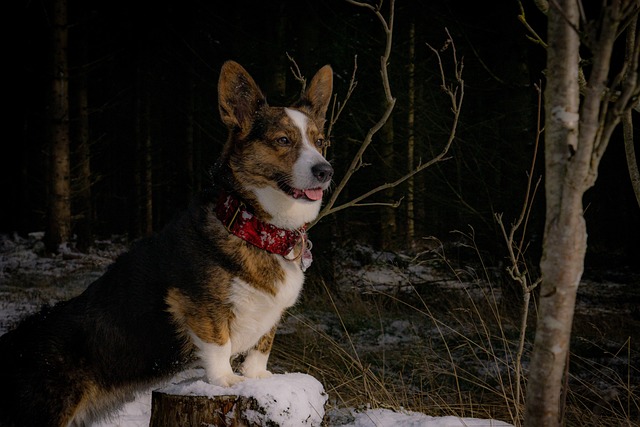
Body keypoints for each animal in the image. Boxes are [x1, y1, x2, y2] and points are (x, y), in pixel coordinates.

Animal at [0, 61, 338, 427]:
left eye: (321, 142)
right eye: (283, 140)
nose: (326, 171)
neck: (257, 227)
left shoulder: (270, 318)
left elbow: (261, 348)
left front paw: (257, 377)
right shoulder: (198, 305)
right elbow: (219, 344)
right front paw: (226, 380)